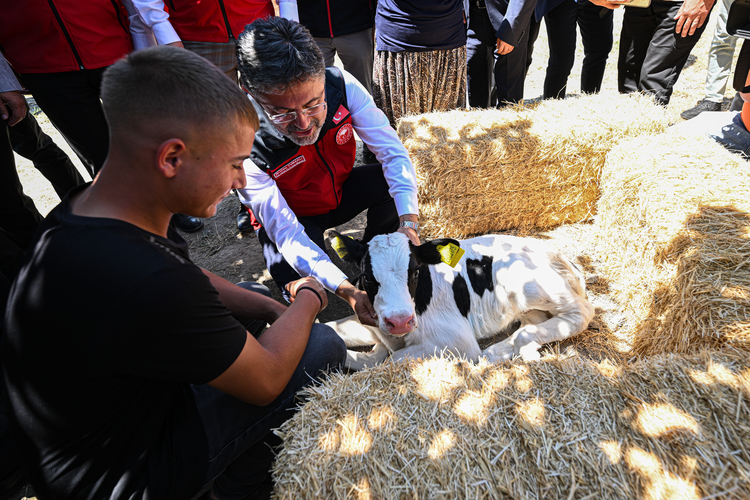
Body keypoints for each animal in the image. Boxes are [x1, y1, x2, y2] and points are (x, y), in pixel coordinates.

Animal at [332, 232, 596, 370]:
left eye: (415, 272)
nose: (399, 321)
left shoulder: (458, 341)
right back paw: (500, 350)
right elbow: (337, 332)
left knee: (581, 311)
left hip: (528, 285)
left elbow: (392, 360)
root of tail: (551, 251)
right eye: (367, 277)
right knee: (534, 320)